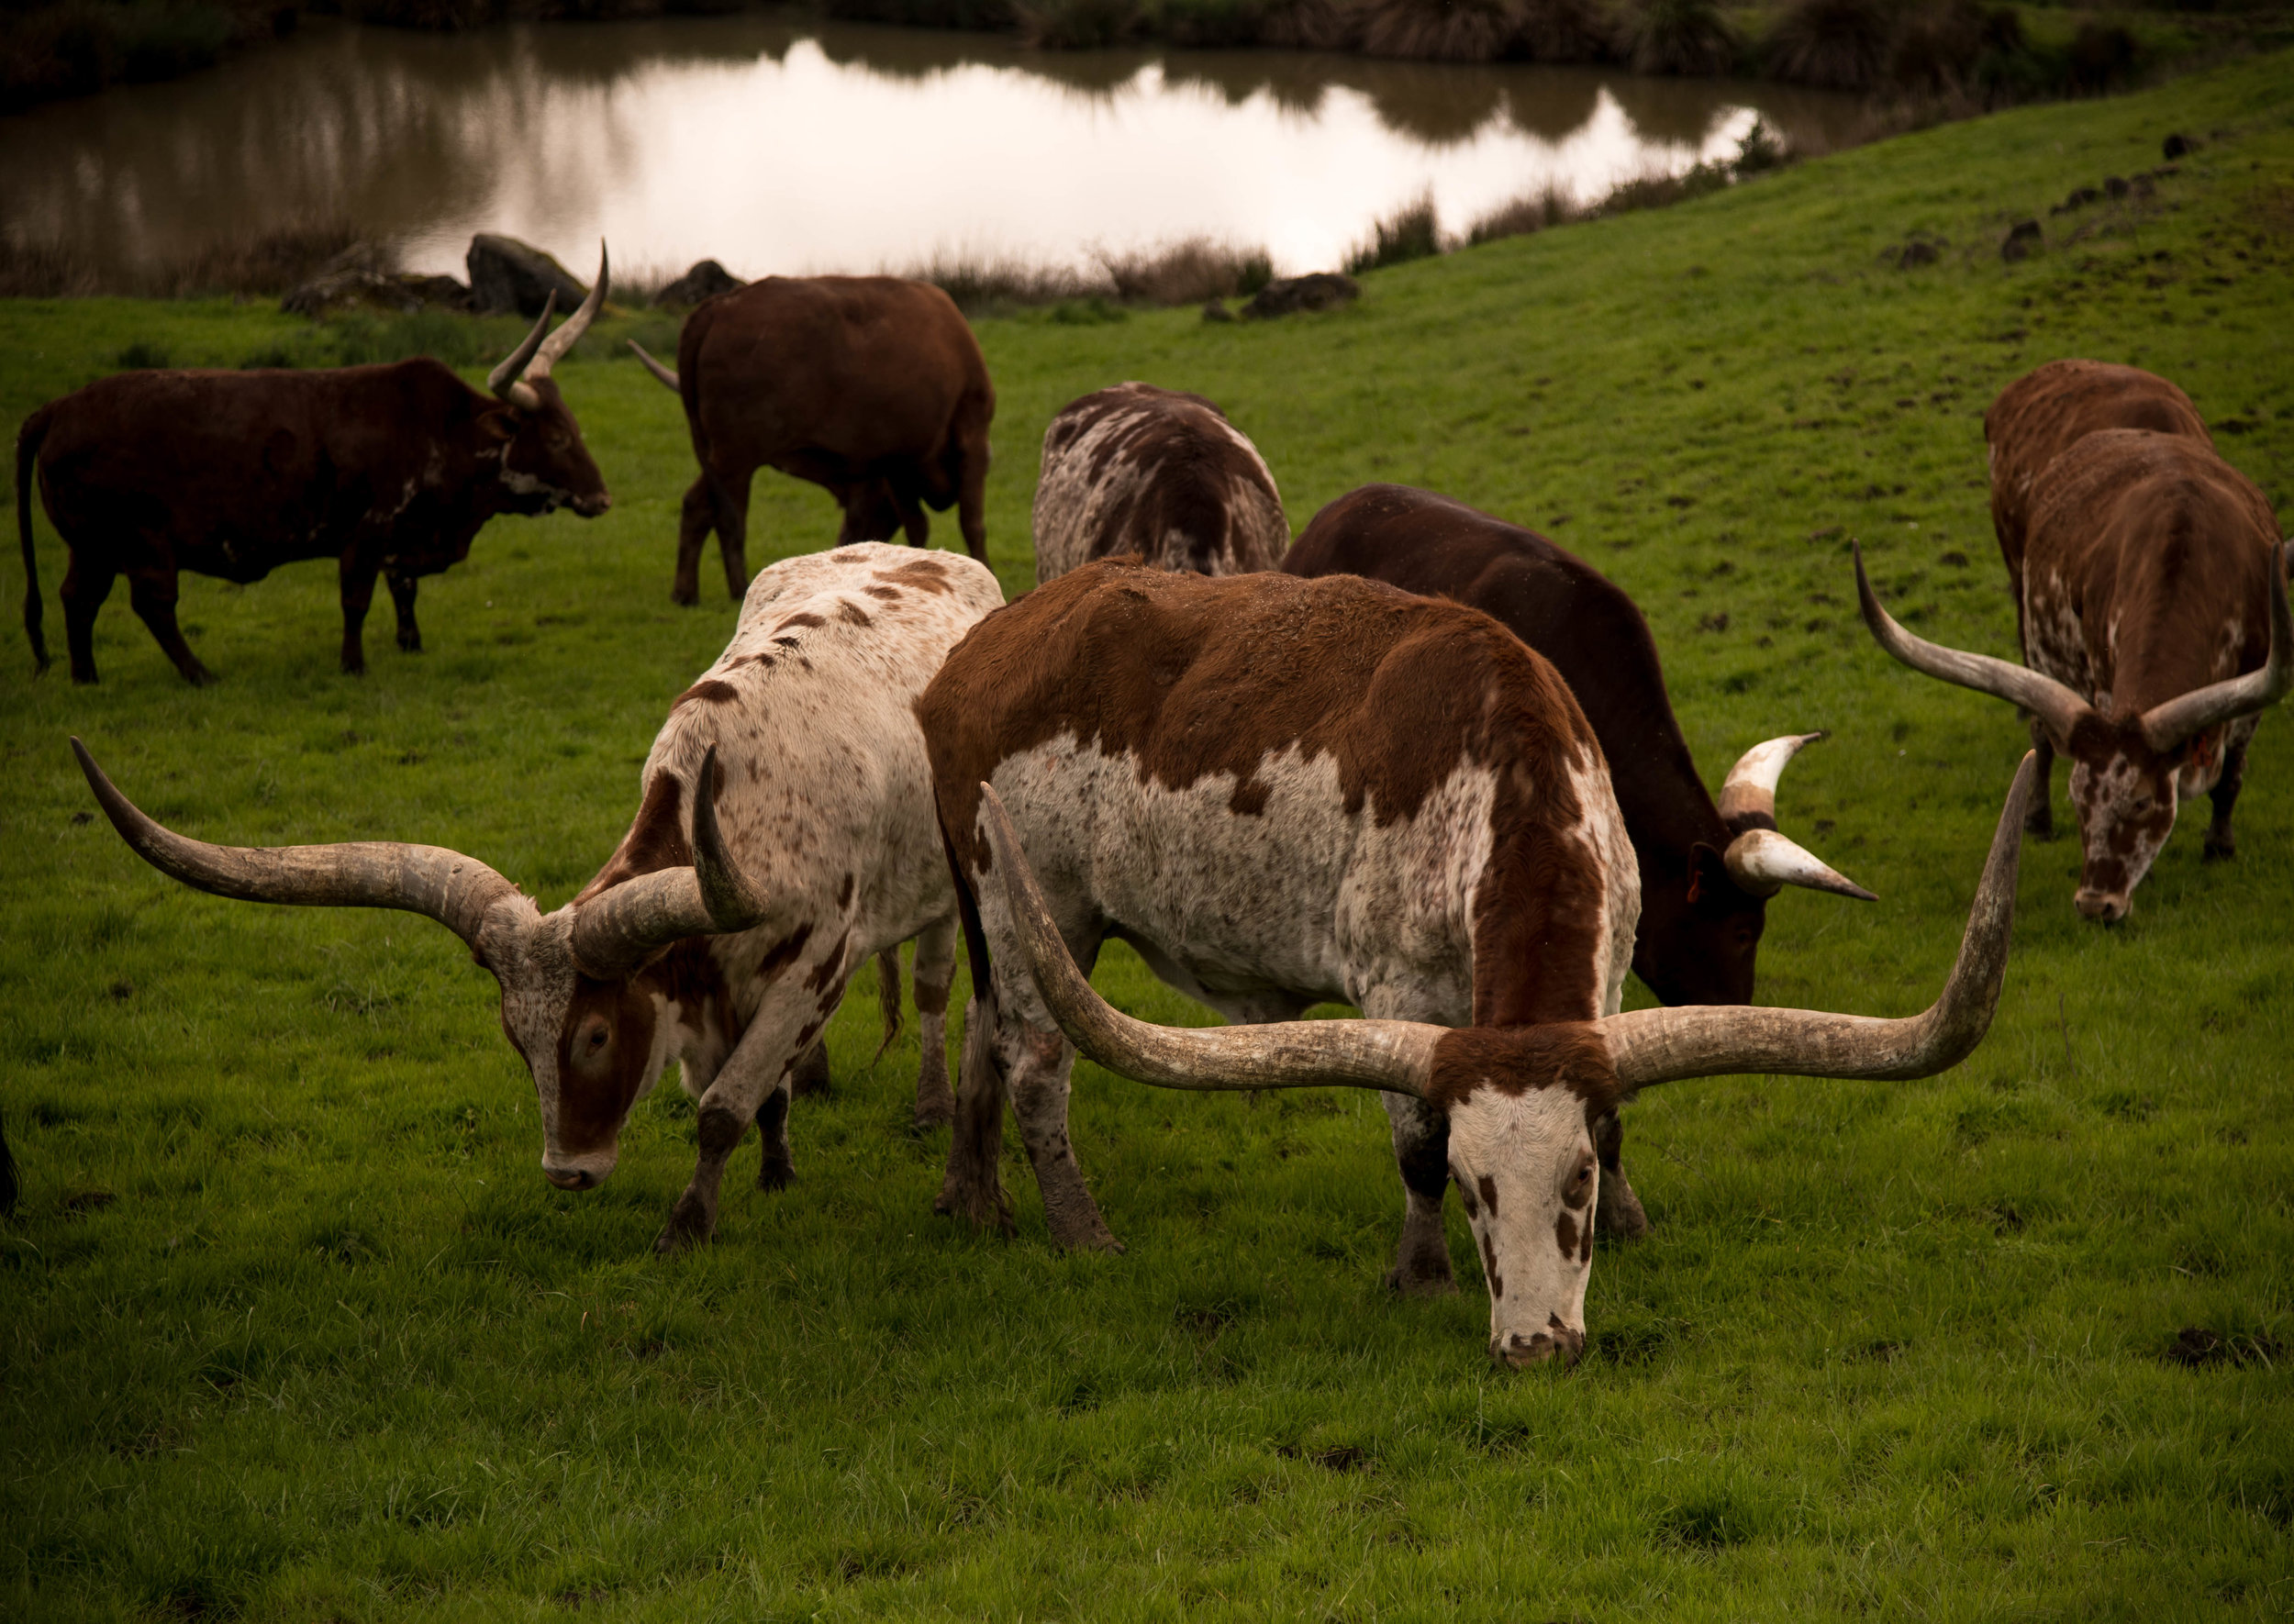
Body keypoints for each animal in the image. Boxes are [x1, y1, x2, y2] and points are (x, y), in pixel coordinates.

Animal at [19, 247, 614, 685]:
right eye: (557, 437)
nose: (602, 498)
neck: (439, 429)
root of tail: (60, 407)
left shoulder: (400, 537)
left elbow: (404, 588)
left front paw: (410, 643)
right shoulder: (367, 530)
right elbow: (357, 598)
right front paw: (353, 664)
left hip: (92, 544)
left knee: (78, 597)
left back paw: (86, 676)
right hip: (141, 540)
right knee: (152, 603)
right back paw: (198, 673)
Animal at [75, 542, 1004, 1254]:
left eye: (595, 1035)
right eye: (514, 1037)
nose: (568, 1173)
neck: (740, 802)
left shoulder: (812, 971)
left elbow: (721, 1110)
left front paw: (686, 1228)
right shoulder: (716, 991)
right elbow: (758, 1093)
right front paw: (776, 1171)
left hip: (946, 892)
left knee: (931, 989)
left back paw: (931, 1104)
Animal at [627, 277, 995, 605]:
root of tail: (719, 305)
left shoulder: (896, 465)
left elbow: (919, 527)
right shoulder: (970, 442)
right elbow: (971, 522)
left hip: (717, 455)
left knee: (696, 504)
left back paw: (685, 593)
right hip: (736, 459)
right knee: (730, 517)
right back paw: (738, 588)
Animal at [921, 560, 2031, 1365]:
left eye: (1575, 1182)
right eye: (1470, 1185)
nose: (1536, 1348)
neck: (1505, 771)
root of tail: (982, 647)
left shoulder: (1608, 978)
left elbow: (1617, 1120)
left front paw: (1631, 1223)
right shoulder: (1396, 989)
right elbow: (1410, 1140)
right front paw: (1421, 1275)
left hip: (992, 913)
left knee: (985, 1034)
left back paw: (974, 1202)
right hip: (1040, 905)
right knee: (1035, 1063)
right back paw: (1080, 1231)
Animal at [1858, 429, 2290, 922]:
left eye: (2142, 800)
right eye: (2077, 799)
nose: (2095, 904)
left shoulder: (2252, 693)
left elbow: (2231, 778)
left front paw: (2219, 847)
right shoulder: (2102, 682)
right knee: (2040, 738)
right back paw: (2036, 818)